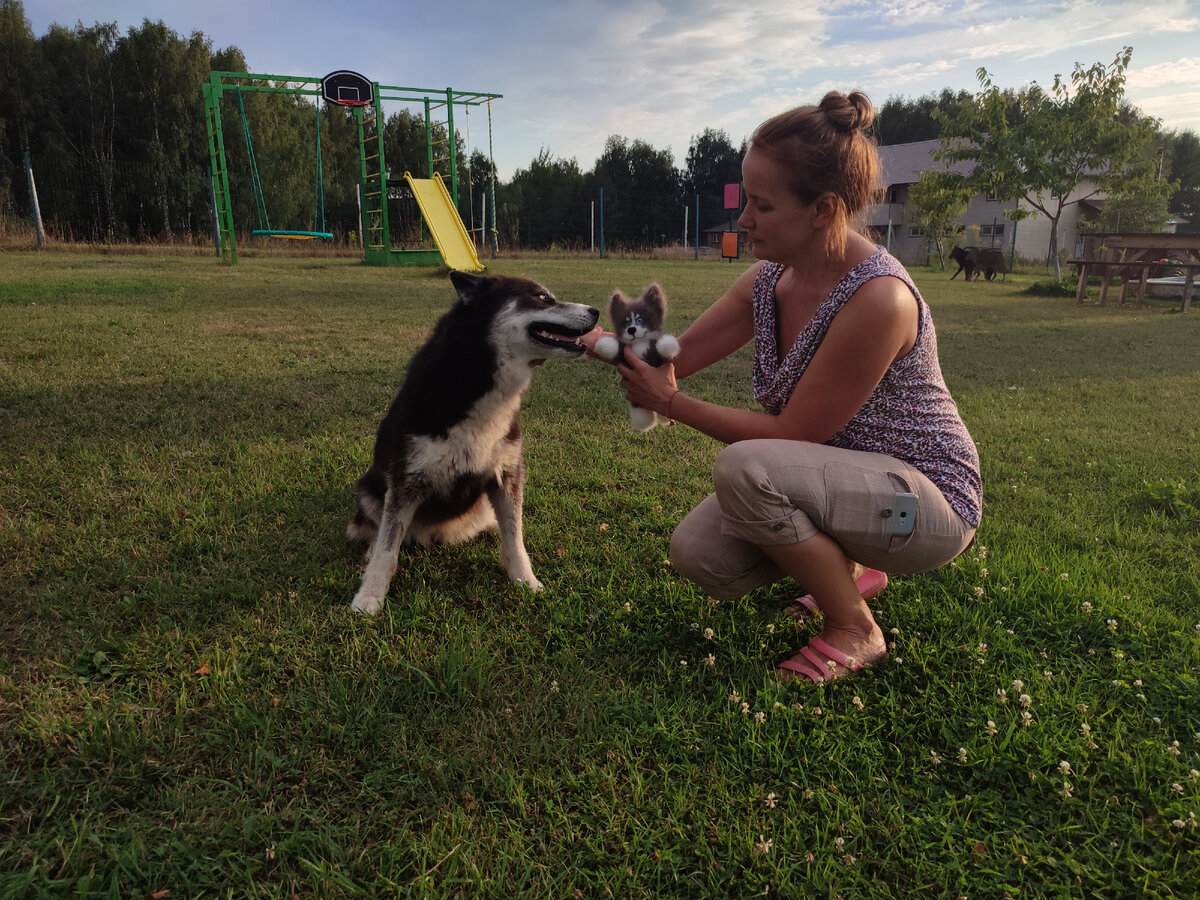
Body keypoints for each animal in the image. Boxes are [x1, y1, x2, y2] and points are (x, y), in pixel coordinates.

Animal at [345, 271, 597, 619]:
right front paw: (369, 598)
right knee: (374, 528)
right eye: (542, 298)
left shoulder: (507, 476)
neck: (477, 376)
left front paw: (526, 581)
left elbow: (515, 537)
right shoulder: (405, 481)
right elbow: (387, 548)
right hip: (370, 489)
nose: (596, 311)